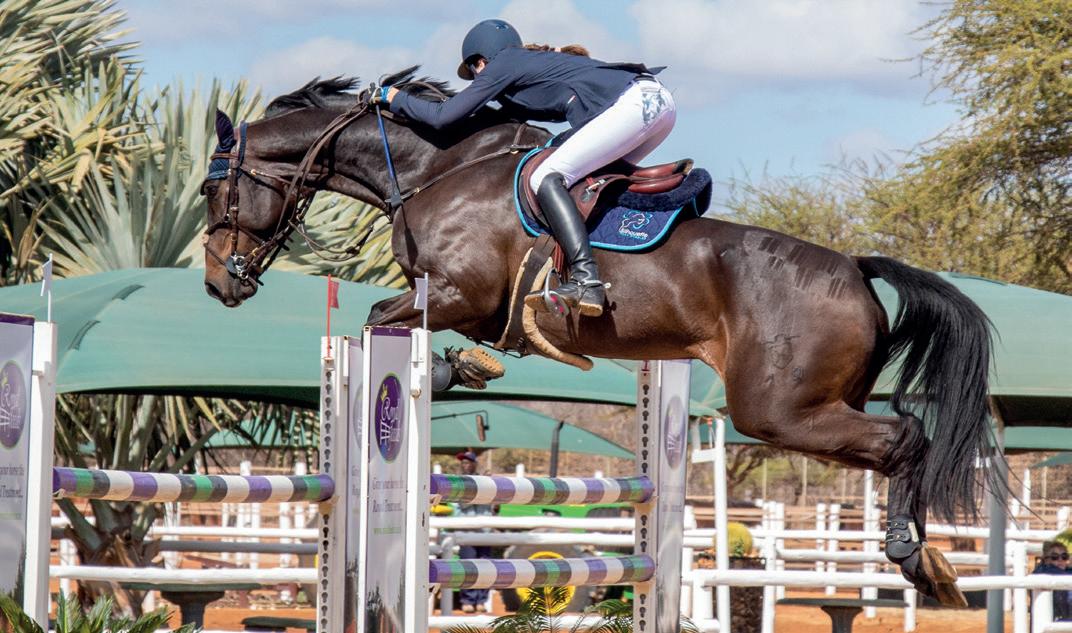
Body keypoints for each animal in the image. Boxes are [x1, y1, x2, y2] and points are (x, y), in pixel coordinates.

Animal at [201, 69, 994, 606]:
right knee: (900, 435)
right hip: (817, 404)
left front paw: (458, 370)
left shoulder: (457, 294)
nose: (217, 284)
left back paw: (917, 560)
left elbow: (378, 322)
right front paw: (472, 368)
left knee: (904, 438)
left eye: (213, 191)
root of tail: (856, 269)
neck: (438, 168)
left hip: (776, 410)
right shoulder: (456, 302)